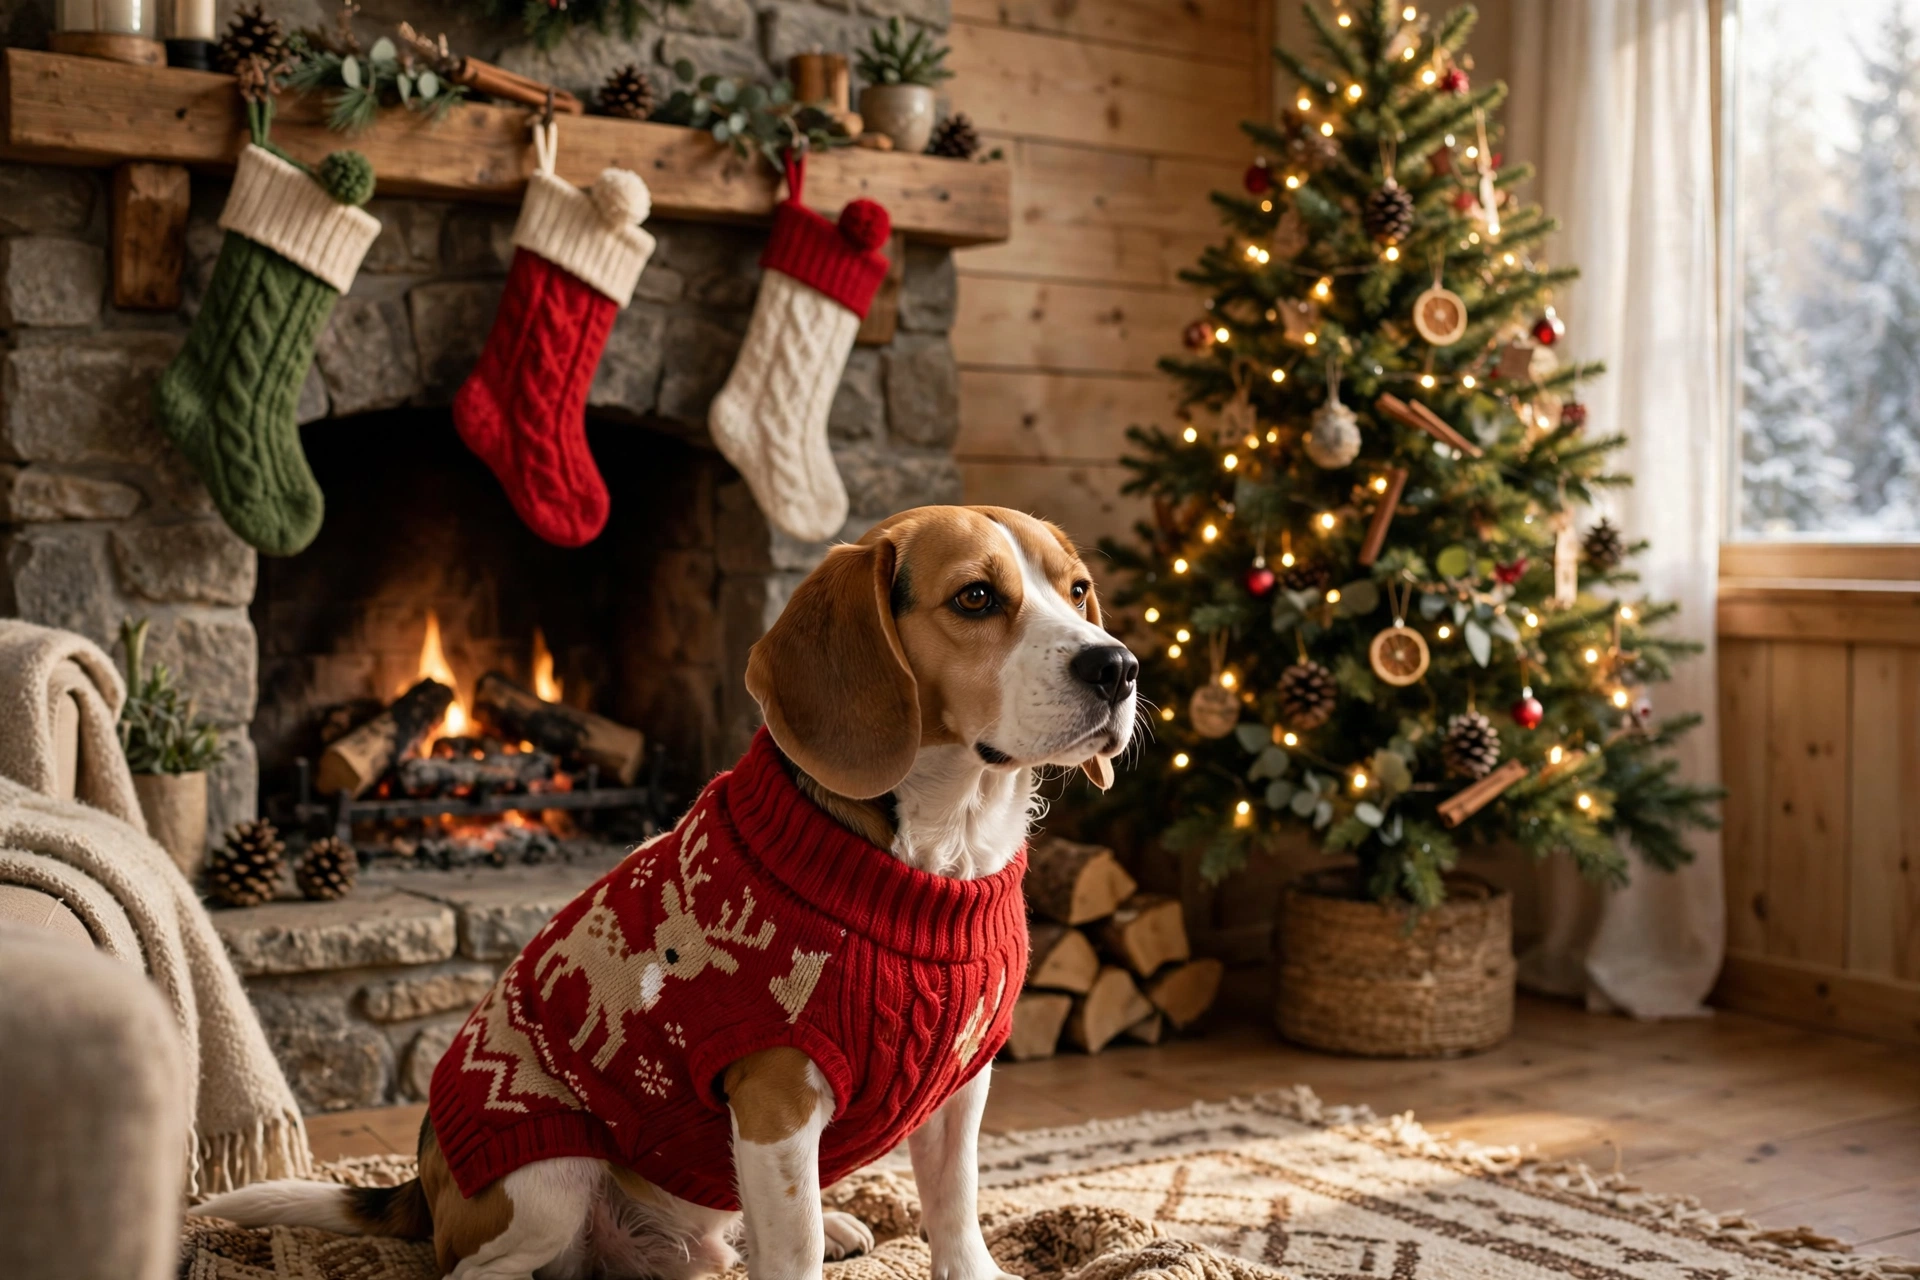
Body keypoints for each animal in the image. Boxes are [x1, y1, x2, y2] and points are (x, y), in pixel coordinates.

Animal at [534, 809, 778, 1070]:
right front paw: (591, 1054)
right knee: (555, 952)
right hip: (572, 948)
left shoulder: (607, 1002)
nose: (671, 954)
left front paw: (582, 1046)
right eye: (670, 927)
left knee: (561, 965)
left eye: (695, 948)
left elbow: (599, 1025)